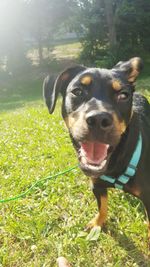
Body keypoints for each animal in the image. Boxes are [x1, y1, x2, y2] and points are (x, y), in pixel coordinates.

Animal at [42, 58, 150, 241]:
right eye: (77, 91)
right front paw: (98, 223)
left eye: (123, 95)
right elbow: (102, 206)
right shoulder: (96, 185)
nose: (99, 119)